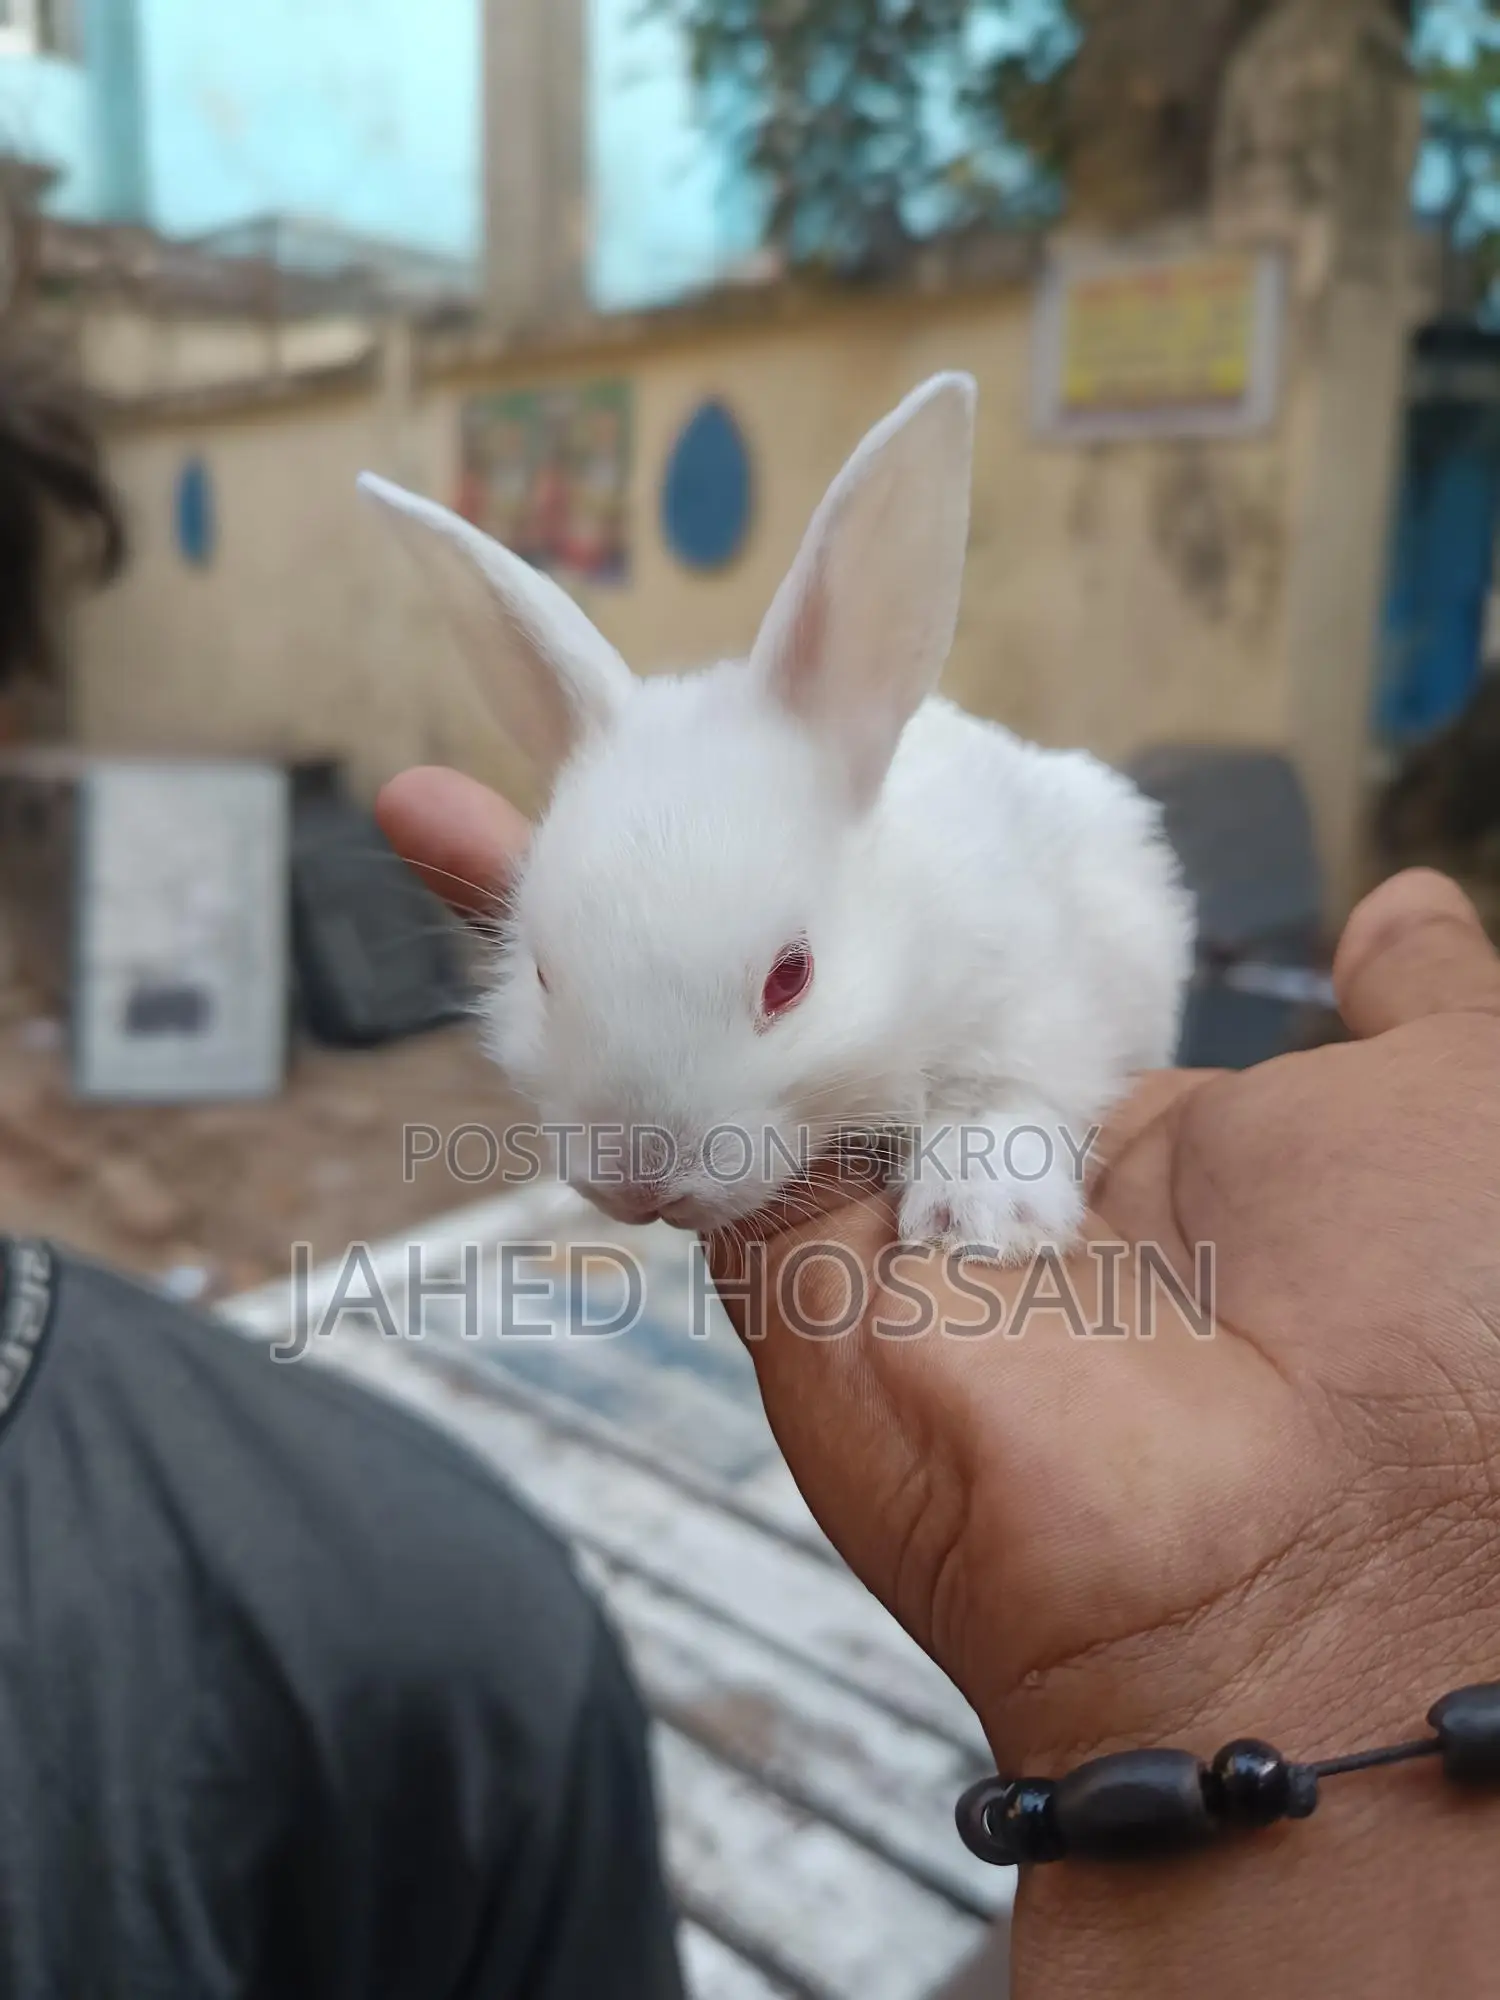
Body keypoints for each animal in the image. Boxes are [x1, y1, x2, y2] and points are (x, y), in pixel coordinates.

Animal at [359, 373, 1195, 1265]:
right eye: (544, 975)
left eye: (791, 977)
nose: (641, 1184)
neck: (911, 940)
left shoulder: (1033, 1008)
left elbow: (999, 1102)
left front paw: (982, 1221)